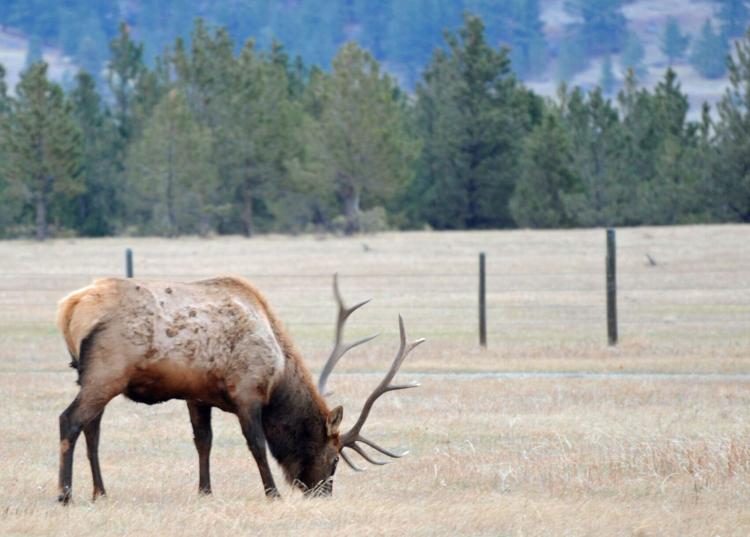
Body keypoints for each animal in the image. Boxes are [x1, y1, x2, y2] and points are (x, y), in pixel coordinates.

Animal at [55, 274, 424, 504]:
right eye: (333, 459)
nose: (323, 493)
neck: (278, 377)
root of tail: (71, 307)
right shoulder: (247, 391)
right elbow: (257, 445)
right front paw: (272, 493)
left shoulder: (197, 395)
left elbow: (203, 442)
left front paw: (205, 491)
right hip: (106, 372)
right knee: (69, 420)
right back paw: (65, 493)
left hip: (92, 377)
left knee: (92, 431)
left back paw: (100, 492)